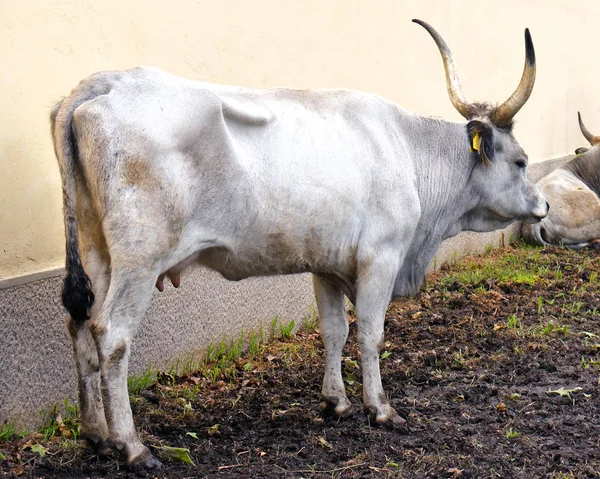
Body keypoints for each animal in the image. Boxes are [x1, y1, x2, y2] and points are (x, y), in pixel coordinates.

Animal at [51, 19, 548, 468]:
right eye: (521, 161)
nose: (543, 204)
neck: (406, 150)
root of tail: (106, 82)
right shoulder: (381, 257)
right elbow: (370, 332)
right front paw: (380, 408)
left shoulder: (327, 262)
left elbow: (333, 330)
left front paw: (336, 401)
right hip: (140, 258)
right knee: (111, 335)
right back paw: (133, 447)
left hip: (98, 253)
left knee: (81, 325)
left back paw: (97, 435)